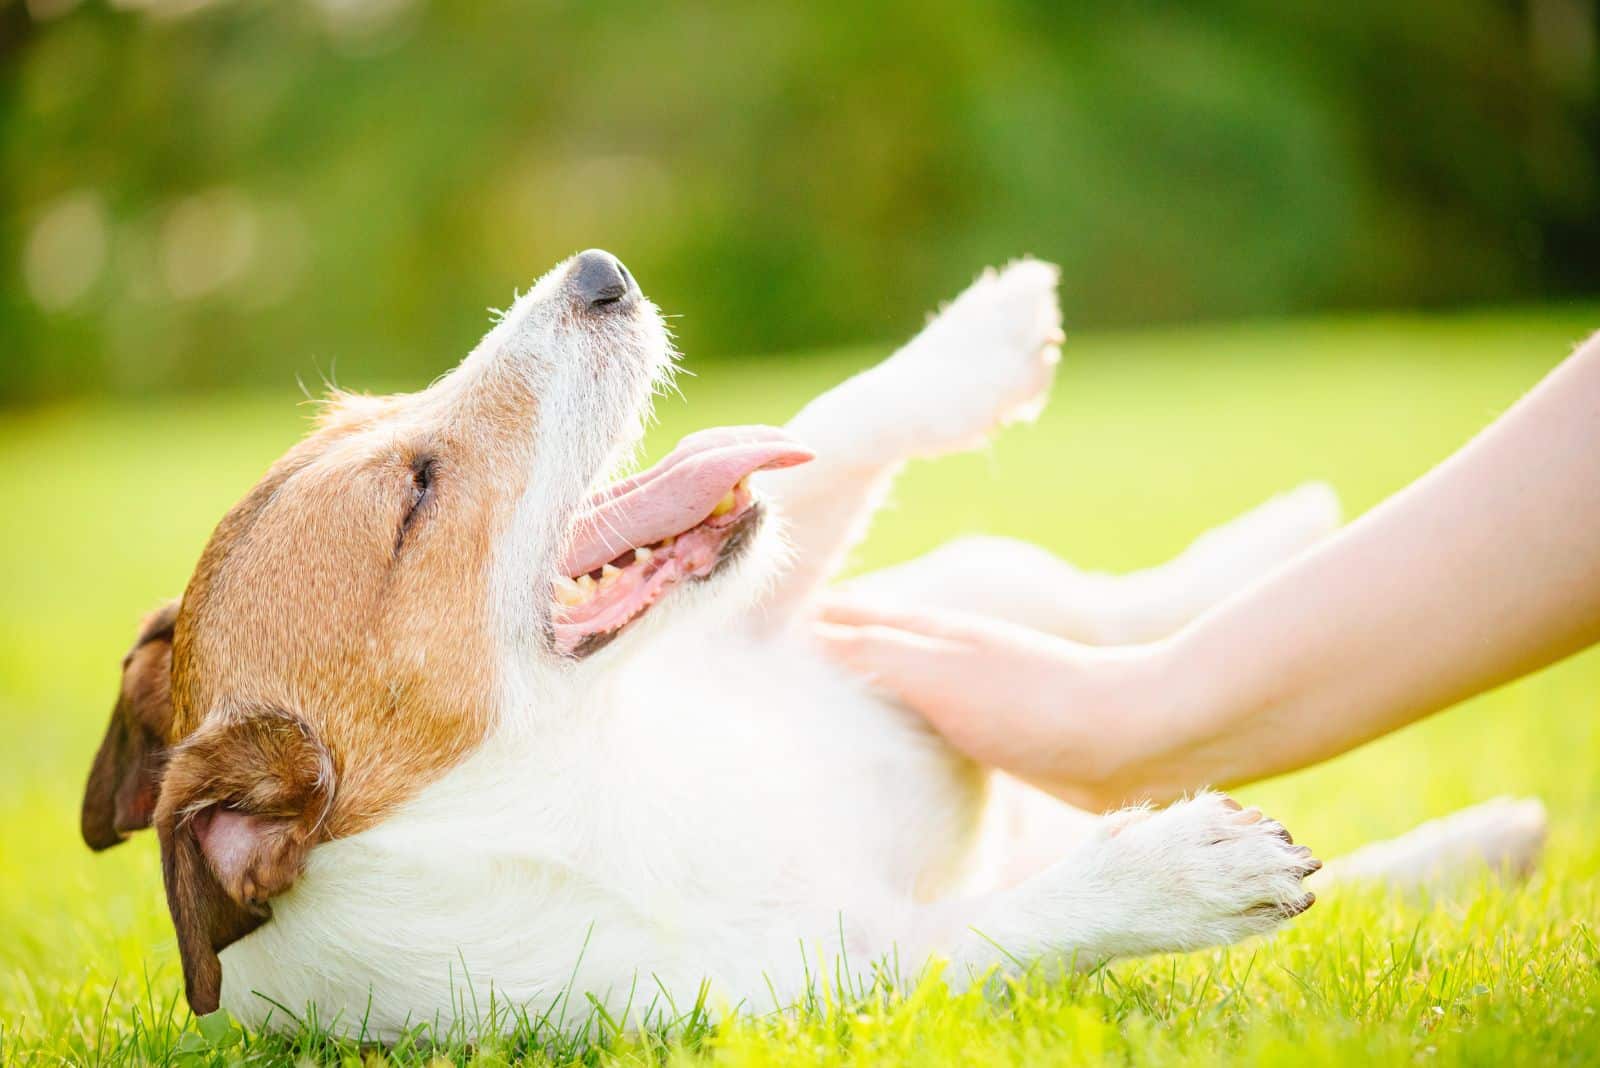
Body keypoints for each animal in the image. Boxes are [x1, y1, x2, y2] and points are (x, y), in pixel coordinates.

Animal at [78, 251, 1548, 1036]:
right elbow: (1018, 924)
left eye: (379, 414)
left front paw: (982, 340)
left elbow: (837, 422)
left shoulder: (775, 620)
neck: (599, 770)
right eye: (419, 490)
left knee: (1074, 598)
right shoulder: (837, 987)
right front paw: (1177, 874)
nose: (602, 275)